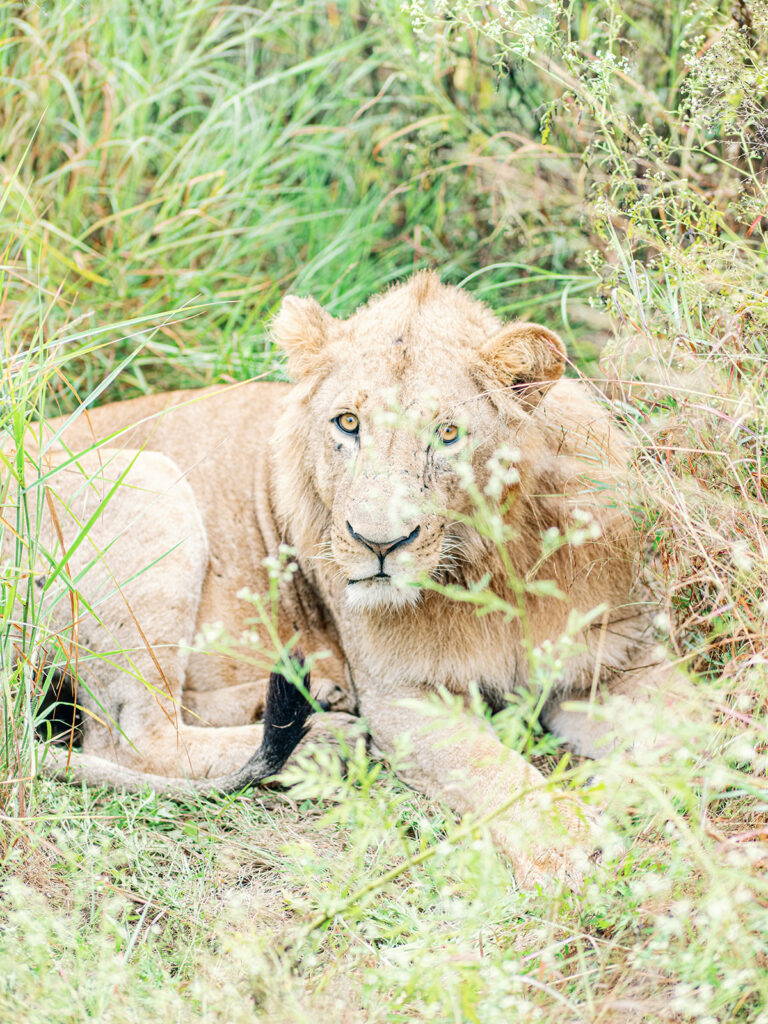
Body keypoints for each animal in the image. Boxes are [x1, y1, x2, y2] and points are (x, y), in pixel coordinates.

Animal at [4, 272, 692, 888]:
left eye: (447, 433)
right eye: (348, 424)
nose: (378, 543)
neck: (492, 567)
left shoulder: (614, 659)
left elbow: (697, 724)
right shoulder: (401, 693)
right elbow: (487, 767)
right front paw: (565, 841)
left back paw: (315, 696)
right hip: (148, 477)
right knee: (129, 738)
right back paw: (326, 742)